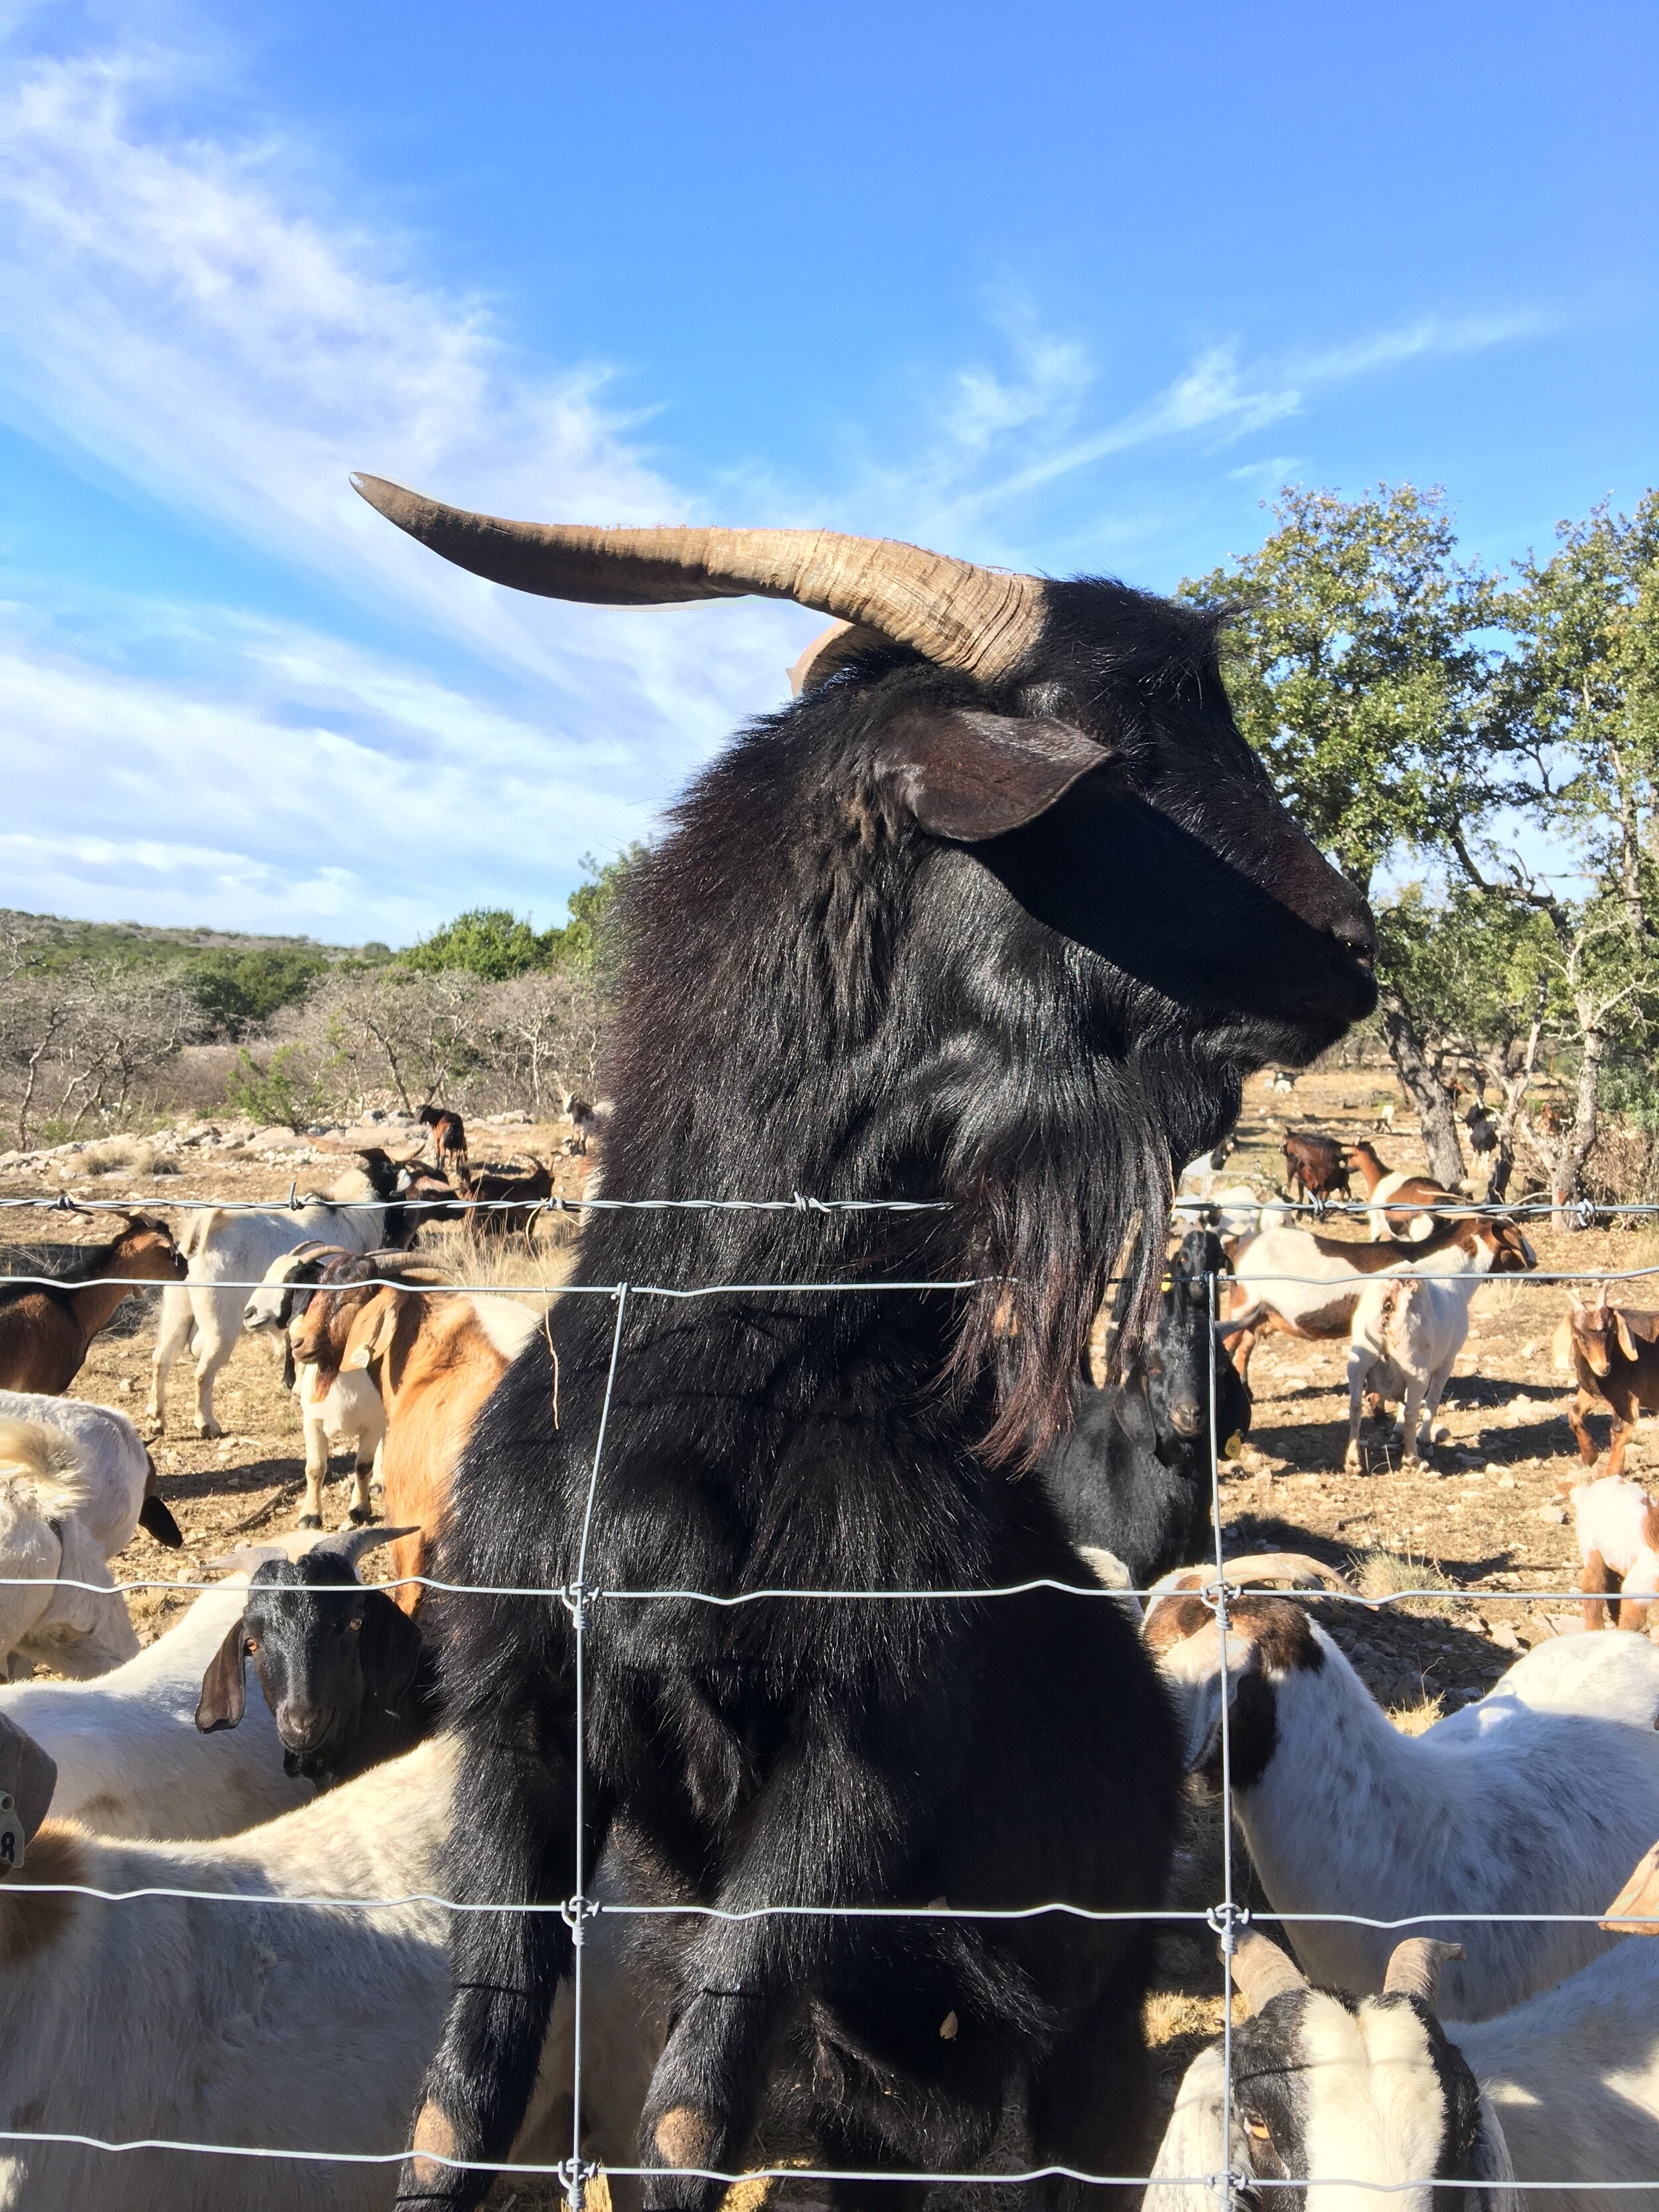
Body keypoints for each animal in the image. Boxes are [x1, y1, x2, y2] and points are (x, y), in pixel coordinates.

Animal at [147, 1156, 416, 1440]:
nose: (410, 1240)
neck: (348, 1216)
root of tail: (204, 1235)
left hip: (177, 1310)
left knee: (161, 1359)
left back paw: (157, 1420)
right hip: (220, 1323)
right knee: (202, 1372)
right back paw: (207, 1424)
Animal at [242, 1245, 387, 1528]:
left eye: (291, 1280)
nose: (249, 1313)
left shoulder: (373, 1422)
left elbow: (362, 1466)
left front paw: (360, 1509)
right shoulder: (312, 1419)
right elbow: (315, 1468)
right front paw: (309, 1516)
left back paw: (378, 1482)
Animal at [1224, 1211, 1534, 1384]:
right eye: (1517, 1232)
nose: (1533, 1258)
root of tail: (1239, 1251)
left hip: (1259, 1315)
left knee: (1244, 1349)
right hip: (1243, 1305)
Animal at [1560, 1292, 1659, 1479]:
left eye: (1611, 1330)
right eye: (1580, 1333)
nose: (1603, 1367)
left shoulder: (1627, 1397)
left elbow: (1619, 1430)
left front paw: (1610, 1472)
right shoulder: (1592, 1391)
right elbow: (1574, 1413)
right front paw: (1590, 1457)